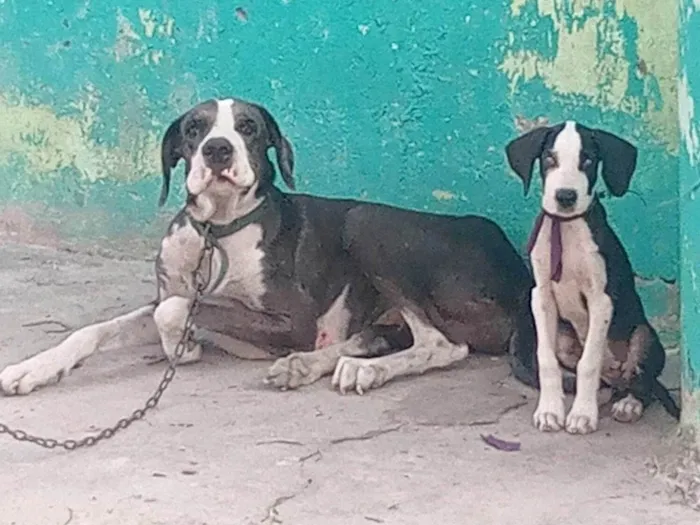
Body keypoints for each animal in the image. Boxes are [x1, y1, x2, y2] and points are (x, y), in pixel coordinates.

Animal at [0, 96, 540, 398]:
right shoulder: (166, 292)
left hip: (365, 222)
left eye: (248, 127)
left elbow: (176, 311)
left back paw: (364, 372)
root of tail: (517, 267)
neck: (217, 234)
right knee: (376, 335)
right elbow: (94, 330)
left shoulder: (291, 318)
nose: (218, 150)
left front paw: (183, 346)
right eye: (194, 129)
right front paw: (32, 369)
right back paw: (316, 363)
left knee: (443, 345)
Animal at [504, 121, 680, 432]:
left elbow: (589, 363)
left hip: (644, 336)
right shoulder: (542, 297)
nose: (565, 196)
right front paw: (549, 410)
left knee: (641, 380)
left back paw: (629, 403)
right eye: (549, 158)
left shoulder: (601, 299)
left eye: (587, 160)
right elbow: (545, 359)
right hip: (565, 339)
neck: (566, 227)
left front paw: (583, 414)